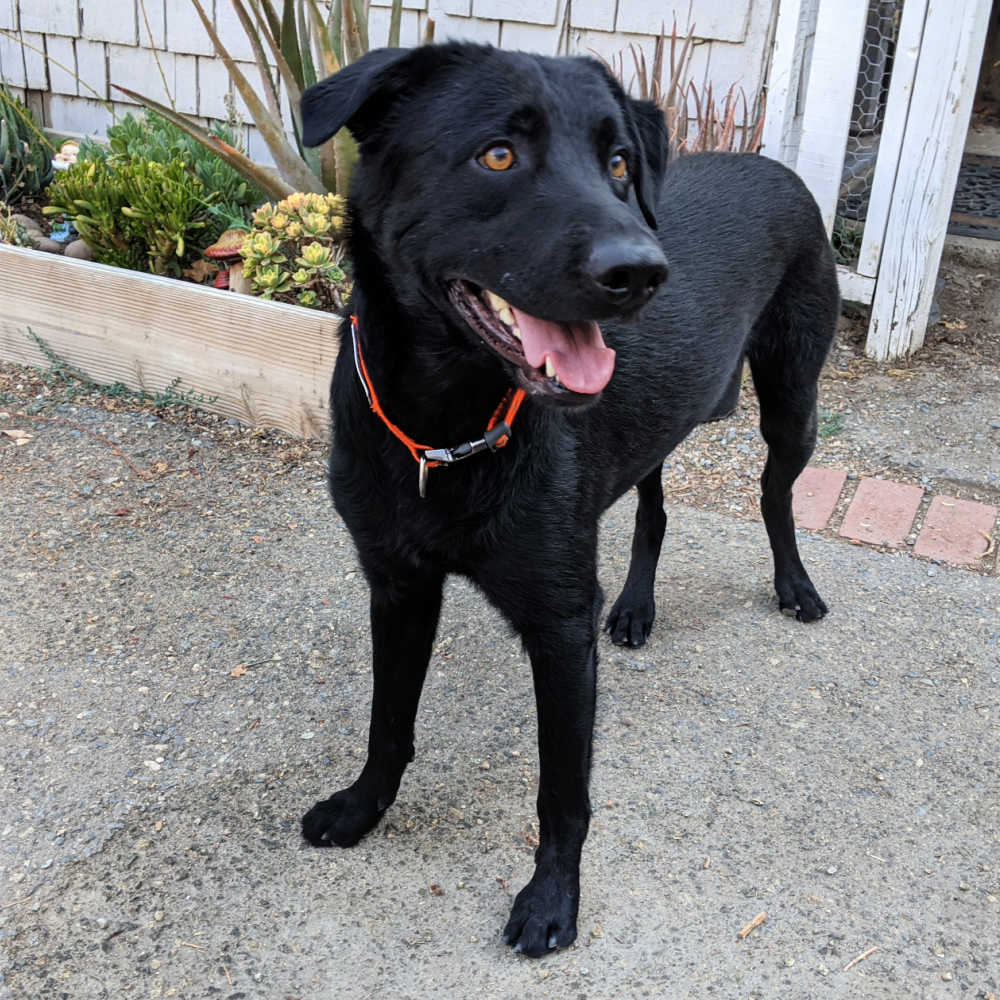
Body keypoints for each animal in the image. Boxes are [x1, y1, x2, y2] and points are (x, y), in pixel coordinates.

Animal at [294, 43, 836, 956]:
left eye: (618, 164)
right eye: (497, 155)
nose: (642, 272)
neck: (445, 426)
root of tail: (772, 162)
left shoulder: (558, 625)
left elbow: (563, 792)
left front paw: (552, 901)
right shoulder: (397, 586)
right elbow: (387, 721)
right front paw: (361, 810)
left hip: (794, 402)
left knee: (773, 495)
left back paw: (793, 584)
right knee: (654, 508)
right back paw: (638, 606)